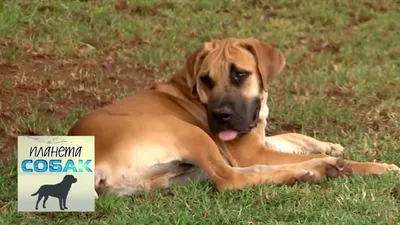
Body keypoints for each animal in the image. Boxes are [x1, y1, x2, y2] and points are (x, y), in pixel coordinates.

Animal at [67, 37, 398, 198]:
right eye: (206, 80)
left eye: (240, 74)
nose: (221, 115)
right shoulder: (250, 149)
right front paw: (376, 166)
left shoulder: (257, 140)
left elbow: (291, 136)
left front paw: (329, 147)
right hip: (188, 132)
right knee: (230, 179)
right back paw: (320, 168)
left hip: (175, 174)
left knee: (245, 173)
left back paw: (312, 169)